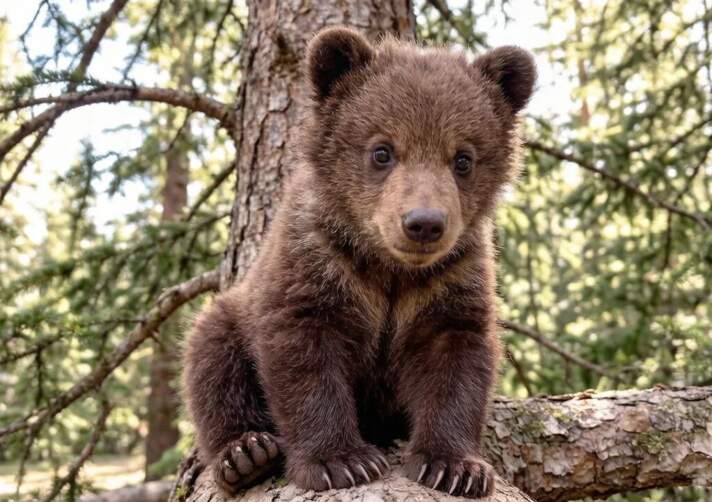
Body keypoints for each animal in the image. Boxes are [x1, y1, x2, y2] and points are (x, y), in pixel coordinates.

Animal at [183, 26, 536, 499]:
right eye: (382, 151)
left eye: (463, 158)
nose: (424, 223)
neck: (388, 268)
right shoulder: (316, 264)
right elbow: (305, 359)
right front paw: (341, 460)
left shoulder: (451, 278)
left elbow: (456, 362)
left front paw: (454, 466)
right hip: (233, 314)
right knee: (211, 355)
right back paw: (245, 454)